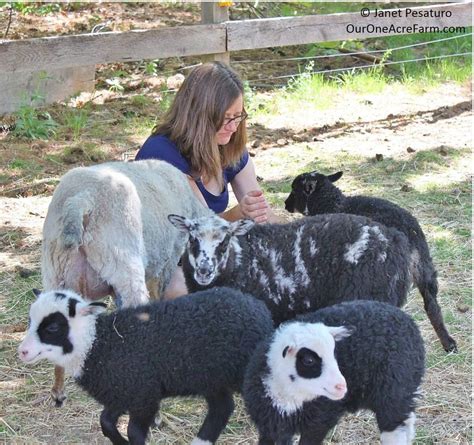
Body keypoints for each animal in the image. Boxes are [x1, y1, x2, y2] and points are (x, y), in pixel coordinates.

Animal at [19, 286, 274, 444]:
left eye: (53, 327)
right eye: (30, 320)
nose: (22, 351)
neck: (97, 344)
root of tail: (256, 306)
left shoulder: (144, 395)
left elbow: (133, 432)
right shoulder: (122, 391)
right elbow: (106, 422)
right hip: (211, 378)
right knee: (222, 408)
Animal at [243, 298, 424, 444]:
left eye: (334, 353)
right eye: (309, 360)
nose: (342, 387)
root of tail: (409, 322)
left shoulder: (318, 422)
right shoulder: (270, 424)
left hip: (393, 390)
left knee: (395, 428)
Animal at [284, 170, 458, 354]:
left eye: (294, 190)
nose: (285, 204)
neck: (332, 203)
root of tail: (410, 238)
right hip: (426, 270)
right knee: (433, 306)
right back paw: (448, 343)